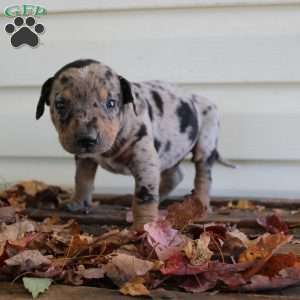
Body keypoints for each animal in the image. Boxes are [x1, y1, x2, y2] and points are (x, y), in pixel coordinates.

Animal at [36, 59, 231, 230]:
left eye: (111, 103)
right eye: (60, 104)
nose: (87, 138)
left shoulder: (145, 160)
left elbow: (144, 197)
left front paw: (143, 226)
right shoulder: (86, 157)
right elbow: (82, 179)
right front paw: (78, 202)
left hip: (206, 141)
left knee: (203, 176)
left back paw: (200, 203)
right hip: (169, 152)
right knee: (175, 175)